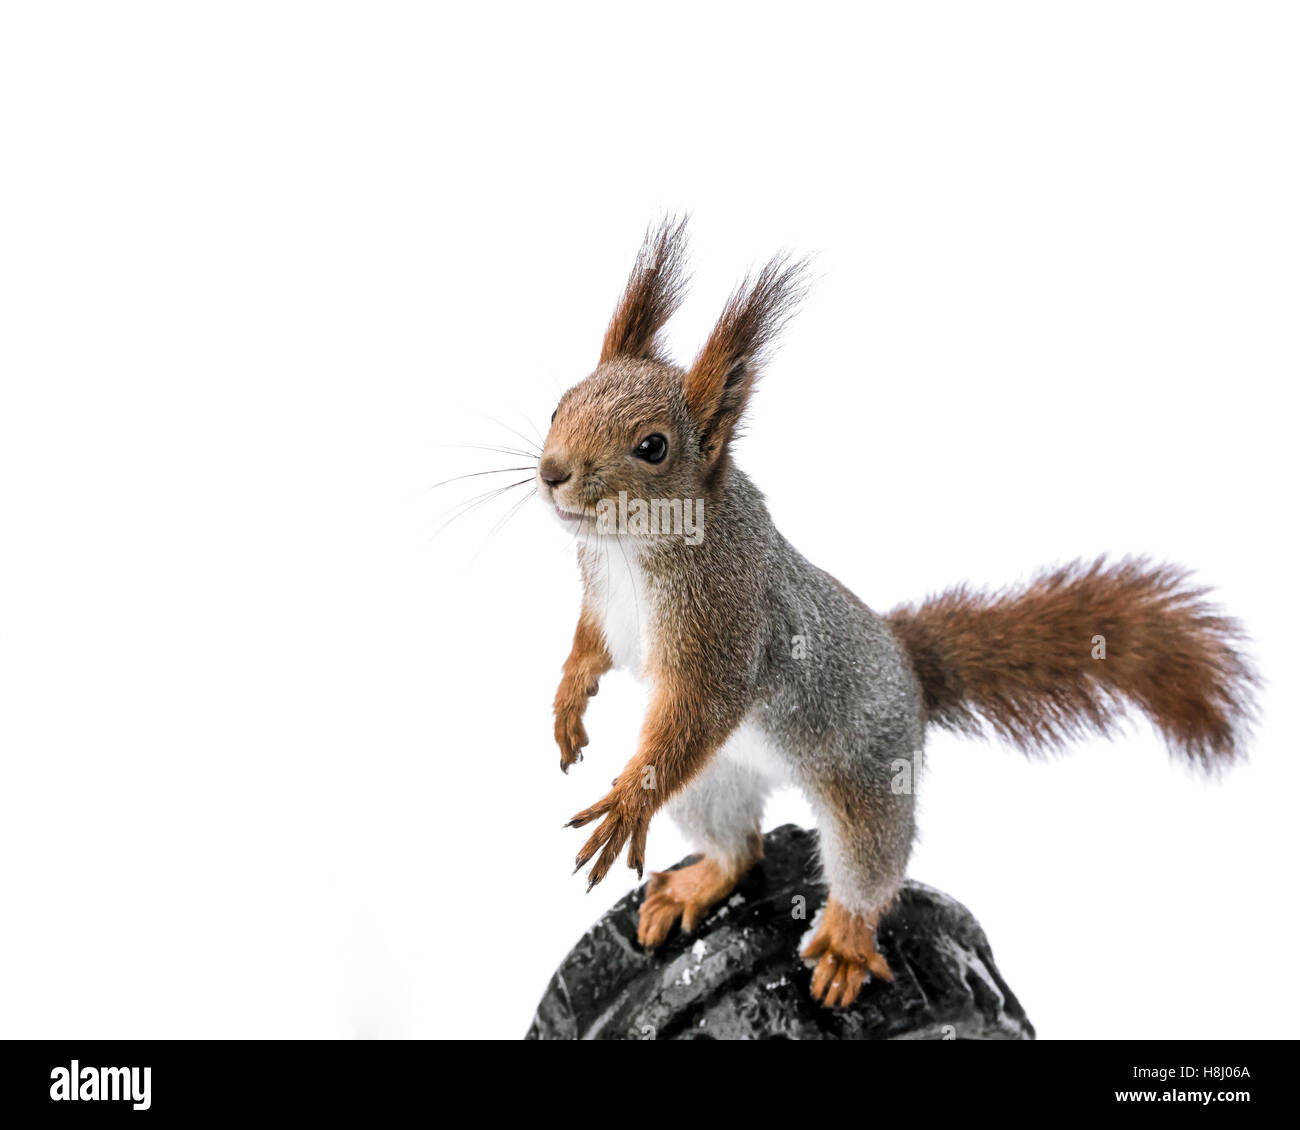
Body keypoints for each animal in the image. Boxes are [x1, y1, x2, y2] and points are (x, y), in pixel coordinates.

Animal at [533, 218, 1253, 1003]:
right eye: (558, 403)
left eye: (653, 447)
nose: (551, 473)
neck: (631, 551)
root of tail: (909, 667)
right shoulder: (600, 593)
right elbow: (592, 643)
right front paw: (568, 701)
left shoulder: (728, 621)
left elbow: (702, 703)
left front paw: (628, 803)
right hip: (717, 782)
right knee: (739, 848)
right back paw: (700, 882)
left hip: (870, 780)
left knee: (867, 865)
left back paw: (845, 943)